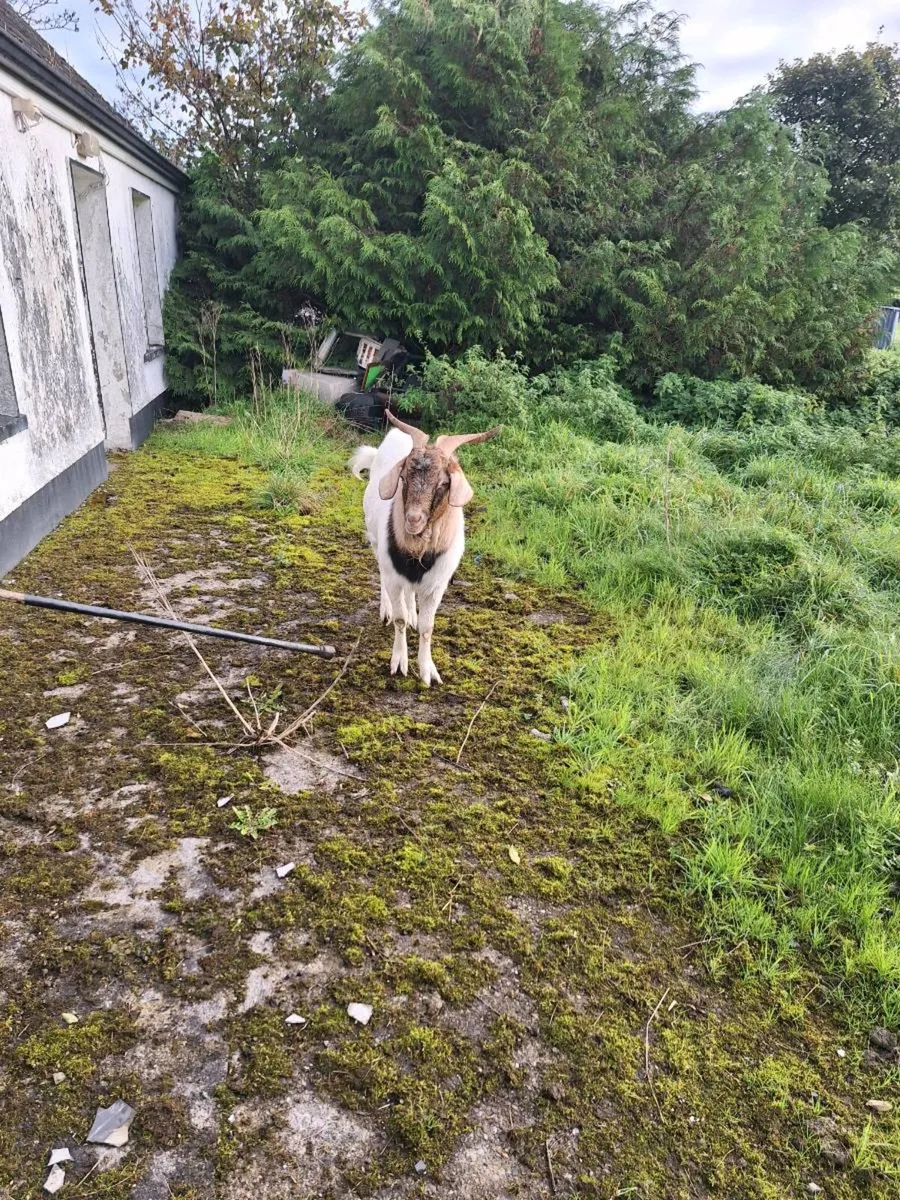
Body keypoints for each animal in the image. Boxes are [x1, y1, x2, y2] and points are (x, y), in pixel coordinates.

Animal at [349, 411, 500, 685]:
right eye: (404, 477)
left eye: (443, 483)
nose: (413, 519)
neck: (417, 551)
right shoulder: (394, 575)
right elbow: (398, 620)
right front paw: (400, 663)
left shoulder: (436, 585)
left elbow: (427, 627)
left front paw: (427, 670)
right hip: (377, 546)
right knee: (383, 579)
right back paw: (387, 609)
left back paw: (412, 613)